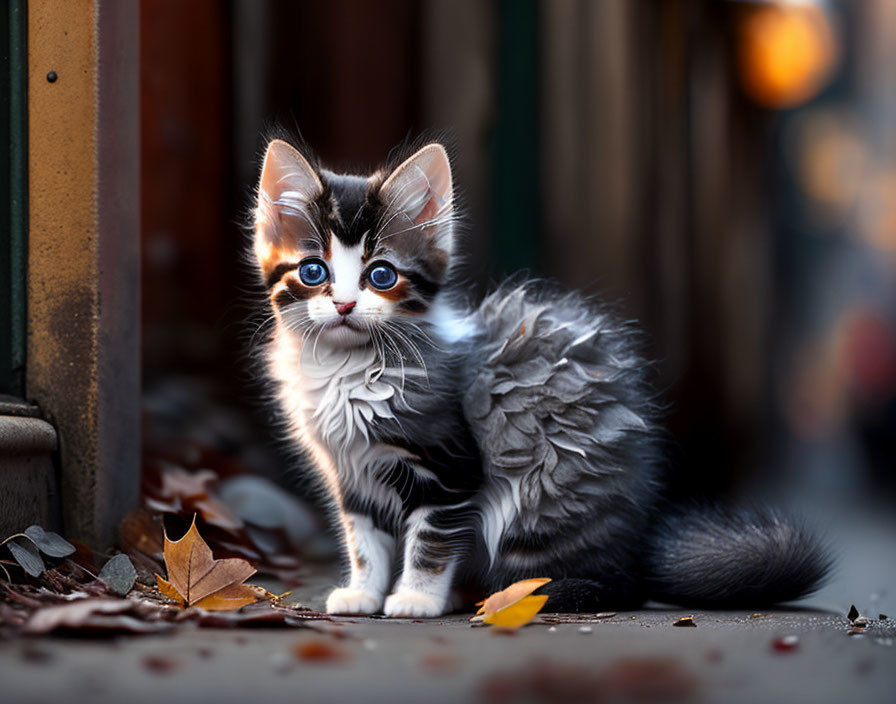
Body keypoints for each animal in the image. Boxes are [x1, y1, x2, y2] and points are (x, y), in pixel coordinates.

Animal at [248, 136, 828, 616]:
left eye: (382, 275)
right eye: (313, 271)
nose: (345, 305)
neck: (346, 369)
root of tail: (631, 547)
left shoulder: (449, 467)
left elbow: (431, 542)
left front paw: (415, 598)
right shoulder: (353, 476)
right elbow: (365, 544)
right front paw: (364, 594)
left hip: (539, 495)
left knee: (608, 586)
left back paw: (512, 596)